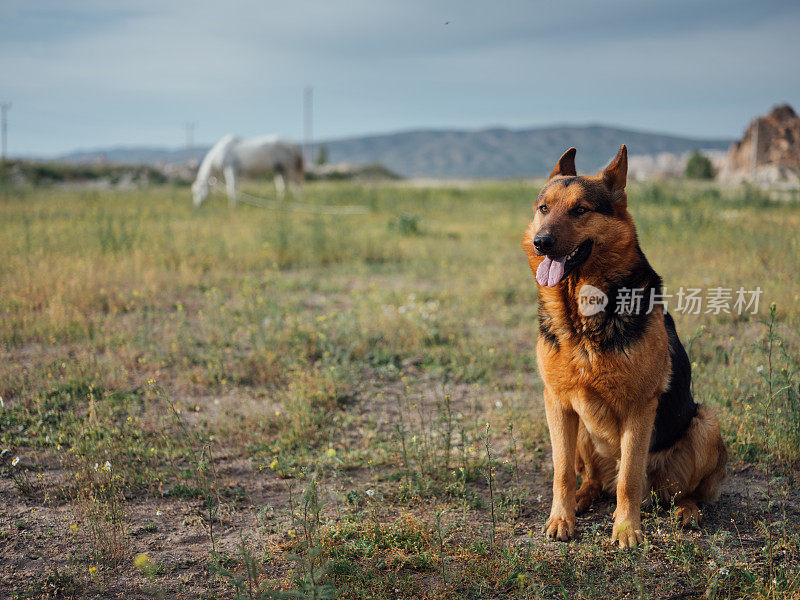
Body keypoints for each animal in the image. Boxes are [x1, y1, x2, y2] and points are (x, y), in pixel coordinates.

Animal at [520, 145, 728, 548]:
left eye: (580, 210)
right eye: (543, 208)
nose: (542, 242)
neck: (582, 315)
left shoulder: (639, 406)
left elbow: (629, 478)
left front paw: (626, 530)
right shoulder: (557, 403)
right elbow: (561, 472)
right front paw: (561, 519)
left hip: (705, 424)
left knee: (682, 491)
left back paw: (687, 511)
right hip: (582, 431)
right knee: (591, 479)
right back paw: (583, 496)